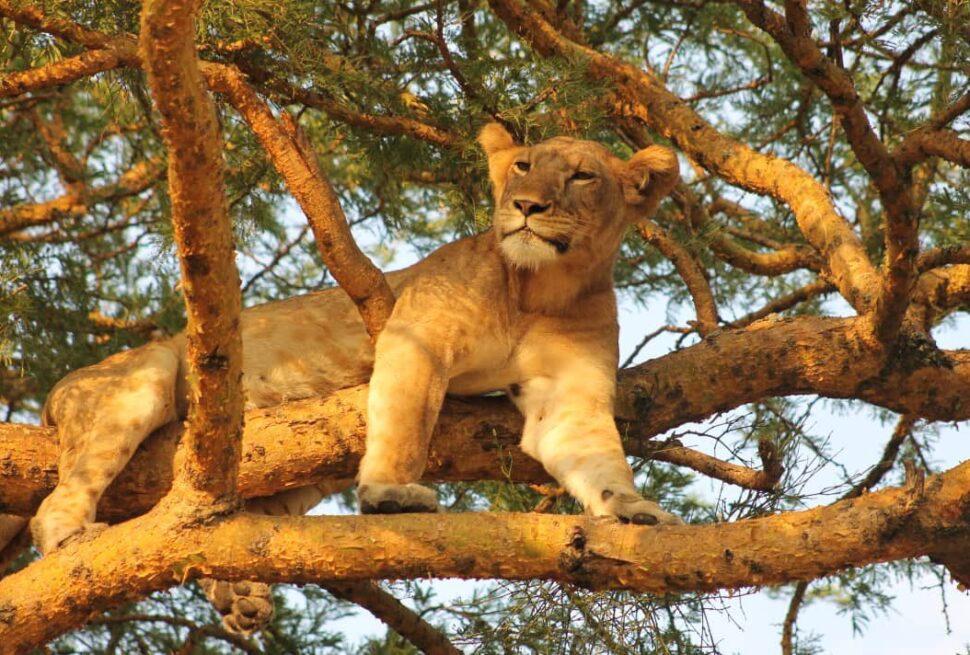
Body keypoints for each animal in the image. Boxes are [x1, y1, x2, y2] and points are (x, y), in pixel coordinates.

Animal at [18, 123, 681, 631]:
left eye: (581, 177)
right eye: (522, 167)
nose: (527, 206)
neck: (545, 286)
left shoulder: (569, 397)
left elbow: (597, 457)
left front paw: (634, 511)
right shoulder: (416, 337)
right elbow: (407, 426)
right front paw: (391, 497)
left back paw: (239, 594)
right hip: (143, 375)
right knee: (56, 502)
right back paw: (73, 541)